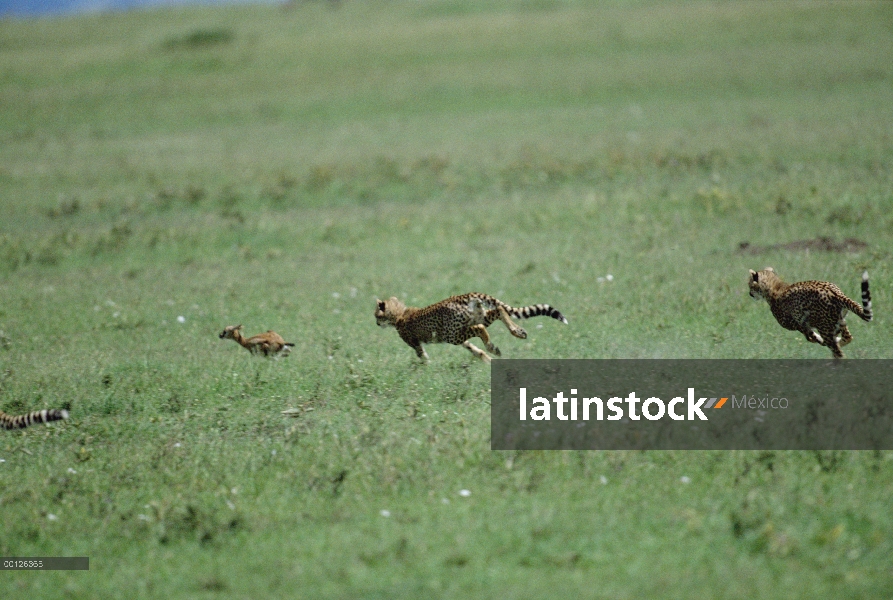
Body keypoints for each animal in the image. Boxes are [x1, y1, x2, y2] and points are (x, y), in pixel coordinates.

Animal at [372, 292, 568, 360]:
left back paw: (493, 346)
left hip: (452, 334)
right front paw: (487, 360)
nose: (376, 323)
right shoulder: (462, 340)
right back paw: (516, 332)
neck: (399, 313)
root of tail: (461, 296)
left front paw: (426, 368)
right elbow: (475, 350)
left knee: (481, 328)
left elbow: (422, 356)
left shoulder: (415, 343)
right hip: (471, 322)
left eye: (376, 315)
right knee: (498, 310)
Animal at [744, 268, 872, 358]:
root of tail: (836, 292)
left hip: (824, 327)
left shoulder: (797, 324)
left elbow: (810, 336)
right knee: (847, 338)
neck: (775, 285)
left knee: (838, 352)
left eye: (750, 284)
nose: (750, 294)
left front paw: (818, 340)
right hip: (839, 321)